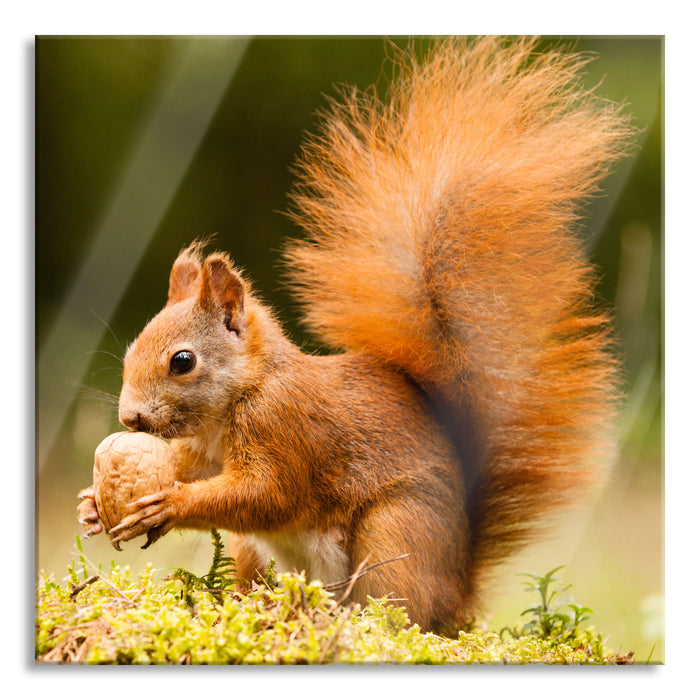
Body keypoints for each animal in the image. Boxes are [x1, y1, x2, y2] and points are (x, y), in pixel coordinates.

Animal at [77, 37, 634, 635]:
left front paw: (169, 504)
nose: (129, 418)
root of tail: (458, 595)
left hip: (397, 532)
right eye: (131, 352)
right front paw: (92, 503)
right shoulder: (204, 453)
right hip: (260, 553)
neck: (239, 399)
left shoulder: (286, 428)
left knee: (395, 610)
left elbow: (267, 494)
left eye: (182, 361)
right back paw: (258, 608)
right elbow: (192, 470)